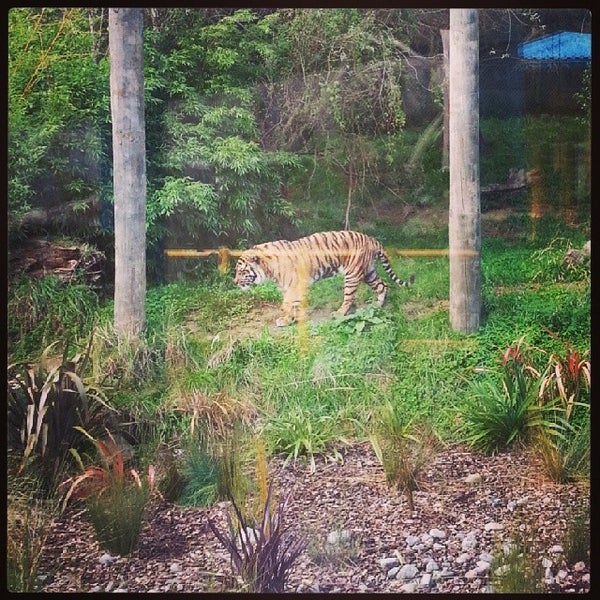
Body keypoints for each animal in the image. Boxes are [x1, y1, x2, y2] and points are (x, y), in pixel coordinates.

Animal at [233, 230, 412, 326]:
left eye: (241, 271)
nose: (234, 282)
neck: (268, 269)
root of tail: (372, 239)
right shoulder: (288, 287)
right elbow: (291, 304)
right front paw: (290, 319)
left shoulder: (296, 285)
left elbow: (291, 304)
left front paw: (293, 319)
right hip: (369, 272)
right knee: (383, 285)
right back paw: (377, 306)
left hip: (352, 275)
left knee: (349, 298)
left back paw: (339, 314)